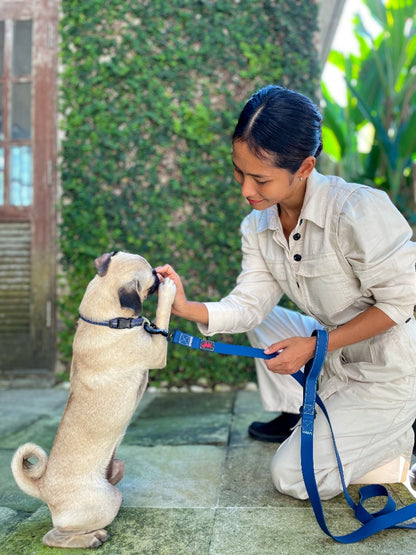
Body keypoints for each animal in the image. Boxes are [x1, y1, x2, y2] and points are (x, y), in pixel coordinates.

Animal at [10, 254, 176, 548]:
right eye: (151, 279)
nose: (160, 272)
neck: (108, 319)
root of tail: (43, 487)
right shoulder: (157, 351)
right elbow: (162, 317)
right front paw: (169, 291)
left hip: (117, 469)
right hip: (108, 500)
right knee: (53, 536)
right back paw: (92, 538)